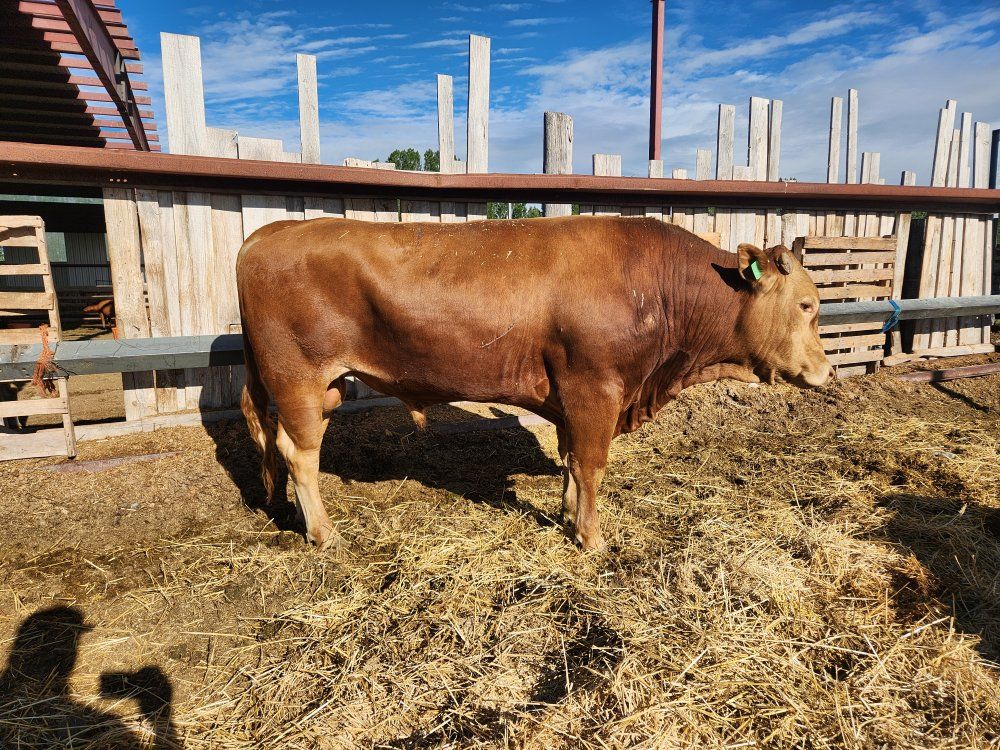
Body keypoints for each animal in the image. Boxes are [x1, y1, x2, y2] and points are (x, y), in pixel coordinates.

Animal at [236, 216, 833, 552]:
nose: (827, 372)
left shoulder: (570, 395)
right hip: (299, 379)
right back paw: (323, 532)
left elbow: (570, 461)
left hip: (308, 385)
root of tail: (266, 233)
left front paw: (568, 515)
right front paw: (592, 539)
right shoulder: (595, 388)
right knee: (298, 453)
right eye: (808, 305)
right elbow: (591, 465)